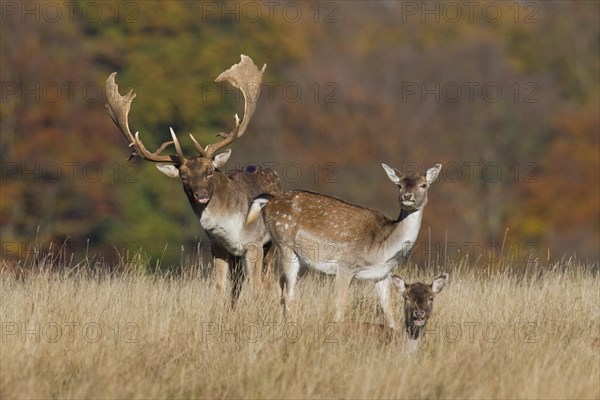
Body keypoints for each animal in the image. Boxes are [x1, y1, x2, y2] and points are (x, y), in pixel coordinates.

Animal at [106, 54, 282, 304]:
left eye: (210, 170)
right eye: (183, 176)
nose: (201, 195)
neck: (231, 227)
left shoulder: (254, 243)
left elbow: (258, 289)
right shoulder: (217, 245)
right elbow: (219, 288)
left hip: (272, 245)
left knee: (268, 283)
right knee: (237, 285)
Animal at [245, 162, 440, 328]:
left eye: (423, 185)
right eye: (399, 185)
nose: (407, 196)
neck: (383, 247)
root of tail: (269, 201)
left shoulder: (382, 274)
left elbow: (389, 311)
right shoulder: (346, 265)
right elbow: (340, 305)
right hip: (285, 245)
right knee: (288, 295)